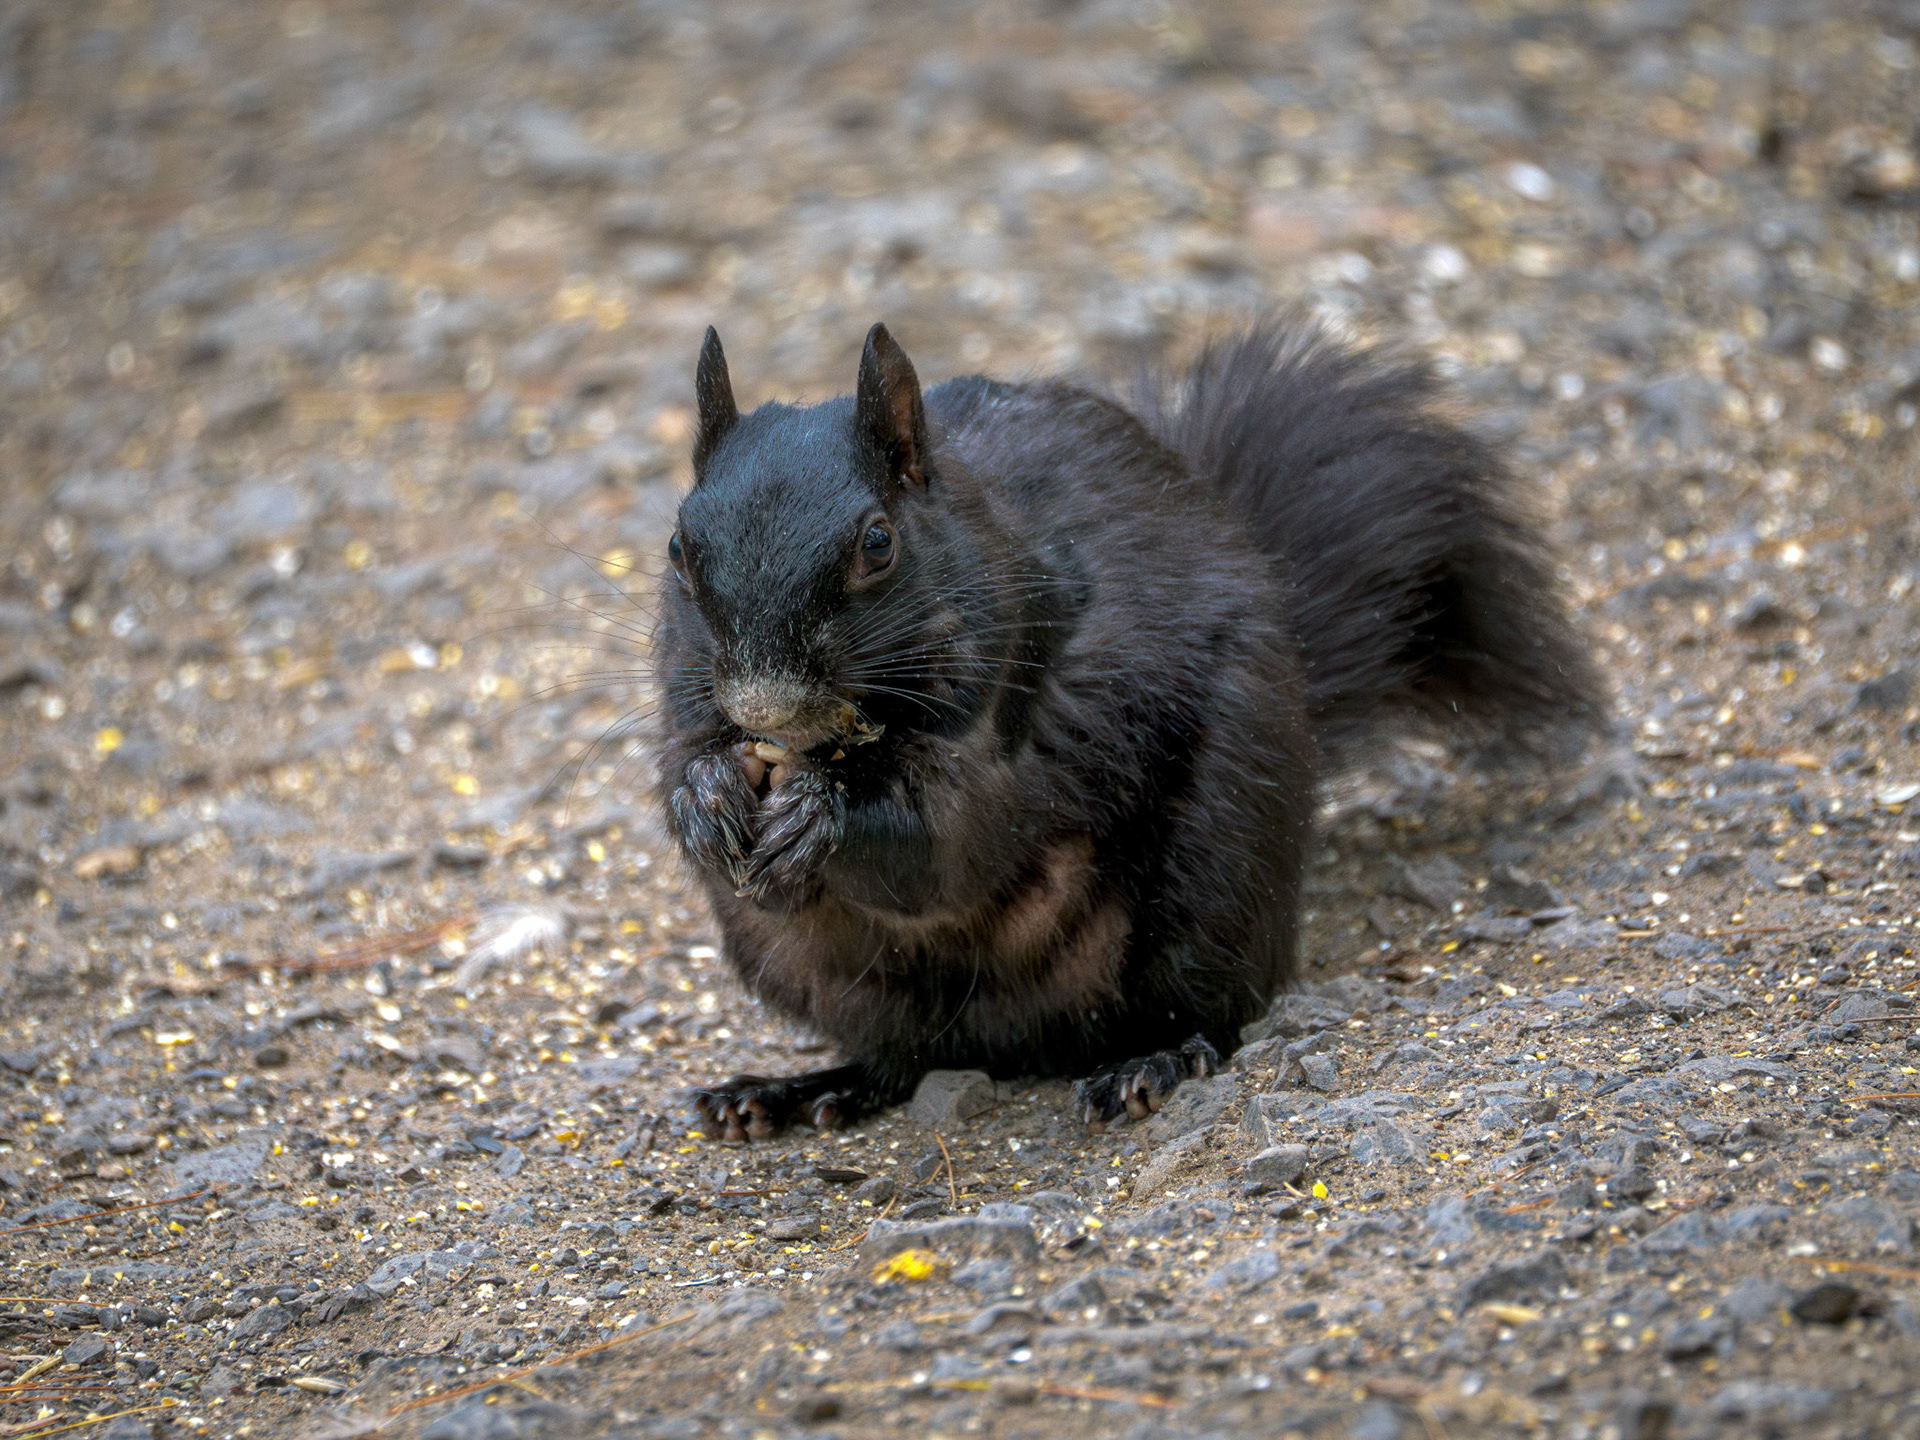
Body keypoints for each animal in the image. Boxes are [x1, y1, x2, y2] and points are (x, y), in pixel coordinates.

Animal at [653, 317, 1601, 1141]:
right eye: (675, 549)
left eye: (878, 544)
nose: (766, 707)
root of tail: (1020, 1040)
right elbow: (682, 765)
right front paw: (706, 795)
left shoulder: (1019, 708)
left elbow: (949, 844)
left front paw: (822, 814)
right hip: (808, 966)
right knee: (898, 1057)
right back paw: (798, 1089)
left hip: (1216, 871)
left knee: (1208, 1009)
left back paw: (1152, 1062)